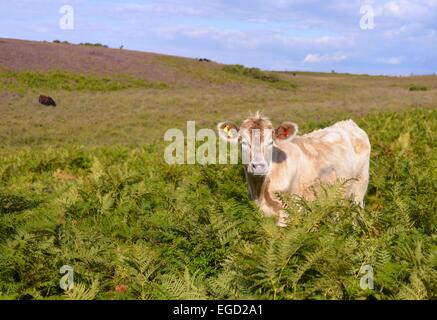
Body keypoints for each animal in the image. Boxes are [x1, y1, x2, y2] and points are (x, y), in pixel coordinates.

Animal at [216, 114, 370, 226]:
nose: (258, 166)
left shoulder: (289, 211)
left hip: (359, 190)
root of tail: (349, 123)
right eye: (243, 142)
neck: (262, 189)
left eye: (271, 142)